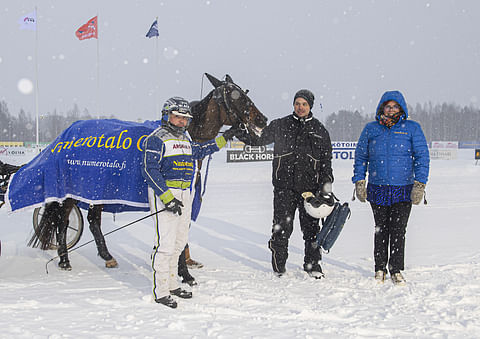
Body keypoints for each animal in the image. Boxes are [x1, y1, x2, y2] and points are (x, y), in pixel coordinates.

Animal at [22, 73, 268, 272]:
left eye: (244, 92)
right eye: (236, 96)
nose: (262, 119)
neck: (185, 134)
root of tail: (66, 135)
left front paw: (187, 260)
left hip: (98, 188)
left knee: (93, 220)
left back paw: (107, 256)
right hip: (73, 189)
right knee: (63, 221)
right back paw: (64, 259)